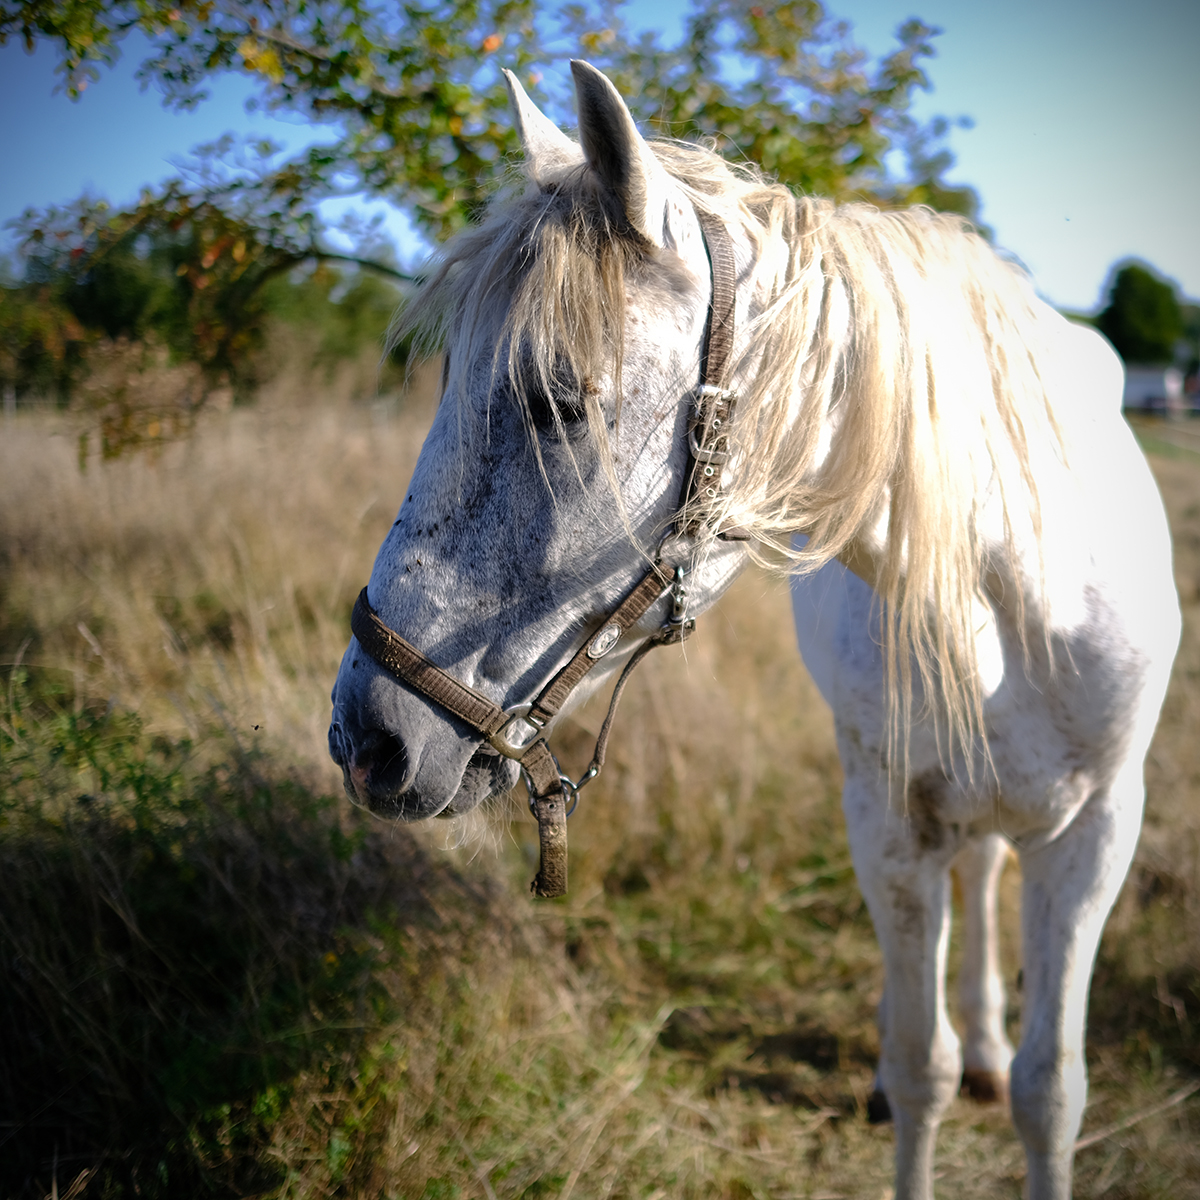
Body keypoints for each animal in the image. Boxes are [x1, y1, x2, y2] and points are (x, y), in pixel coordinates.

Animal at [328, 63, 1180, 1200]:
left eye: (557, 401)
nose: (365, 737)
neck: (1014, 595)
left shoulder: (1097, 831)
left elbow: (1053, 1094)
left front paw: (1017, 1075)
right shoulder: (892, 819)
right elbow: (921, 1065)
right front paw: (922, 1069)